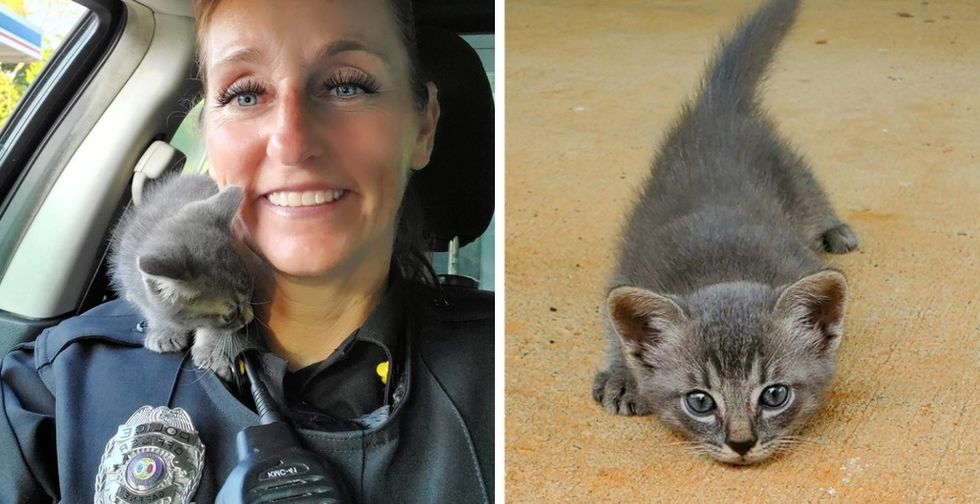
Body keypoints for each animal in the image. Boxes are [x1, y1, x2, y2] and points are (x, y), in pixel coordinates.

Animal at [109, 175, 260, 380]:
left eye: (251, 290)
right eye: (229, 316)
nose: (249, 318)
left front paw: (211, 353)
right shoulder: (131, 276)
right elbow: (150, 307)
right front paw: (164, 330)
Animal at [588, 0, 856, 464]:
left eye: (774, 395)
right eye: (700, 401)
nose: (742, 442)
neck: (723, 266)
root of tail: (720, 108)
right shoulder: (633, 265)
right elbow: (611, 320)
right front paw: (622, 373)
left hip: (785, 167)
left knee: (808, 186)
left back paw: (833, 227)